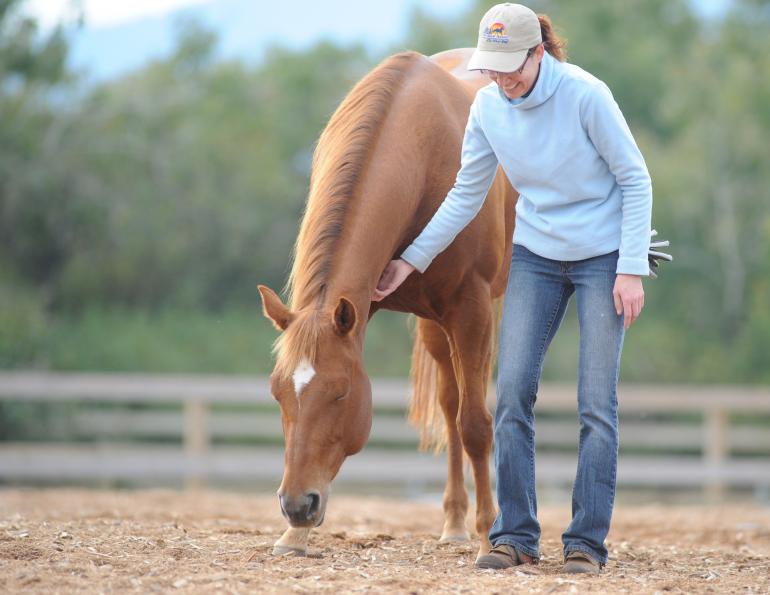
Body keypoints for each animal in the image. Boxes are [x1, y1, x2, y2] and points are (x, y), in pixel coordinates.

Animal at [258, 47, 518, 562]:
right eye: (278, 393)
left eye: (341, 393)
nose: (297, 505)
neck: (420, 150)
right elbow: (457, 414)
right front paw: (293, 538)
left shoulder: (472, 308)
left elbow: (477, 426)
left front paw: (487, 536)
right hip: (436, 326)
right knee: (449, 403)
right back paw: (452, 521)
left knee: (471, 411)